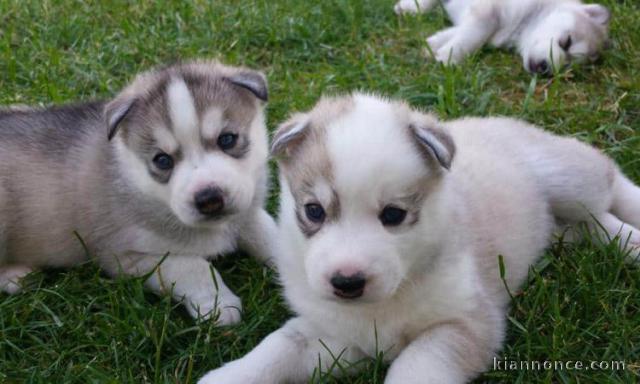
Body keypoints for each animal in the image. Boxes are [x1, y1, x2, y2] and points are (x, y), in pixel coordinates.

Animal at [0, 61, 276, 326]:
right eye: (162, 160)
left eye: (227, 139)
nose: (209, 200)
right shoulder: (124, 254)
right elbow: (191, 265)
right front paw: (218, 303)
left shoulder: (247, 213)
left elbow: (270, 233)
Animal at [200, 94, 640, 384]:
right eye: (314, 211)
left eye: (393, 215)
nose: (346, 282)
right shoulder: (333, 336)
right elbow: (277, 348)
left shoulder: (466, 323)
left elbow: (414, 365)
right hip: (564, 220)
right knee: (591, 225)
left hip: (569, 177)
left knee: (610, 190)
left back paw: (634, 240)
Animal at [396, 0, 608, 74]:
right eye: (566, 42)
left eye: (567, 67)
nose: (544, 69)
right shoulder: (487, 12)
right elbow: (473, 36)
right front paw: (448, 57)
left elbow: (460, 32)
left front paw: (432, 46)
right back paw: (411, 7)